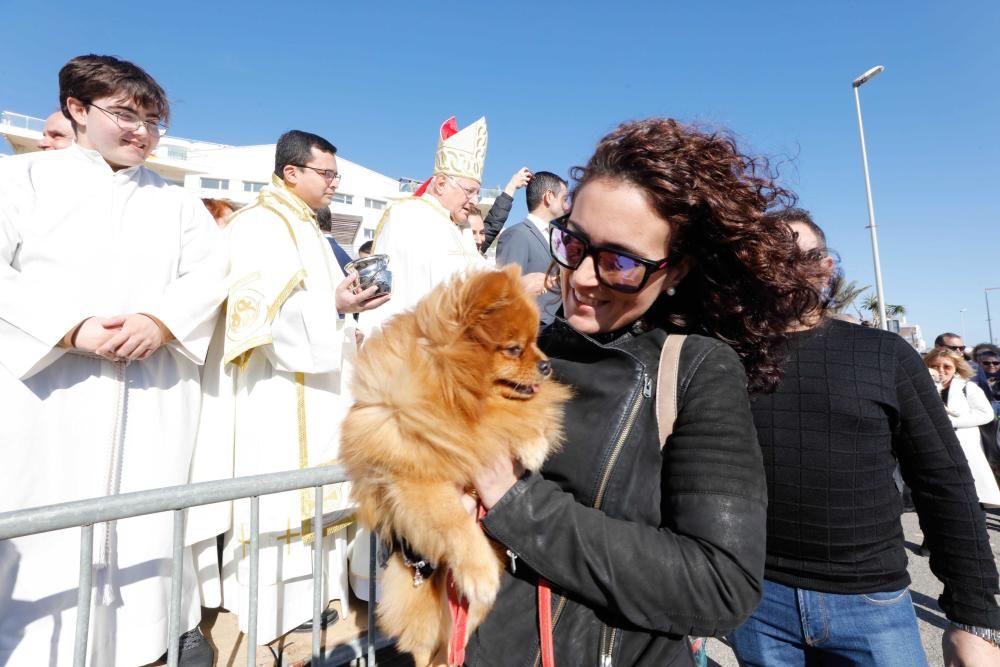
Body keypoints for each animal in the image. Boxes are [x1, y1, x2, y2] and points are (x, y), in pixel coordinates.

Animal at [340, 268, 568, 667]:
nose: (546, 364)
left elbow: (520, 417)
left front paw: (533, 443)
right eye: (514, 348)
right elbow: (454, 522)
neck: (453, 397)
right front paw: (480, 572)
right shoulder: (416, 478)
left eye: (537, 342)